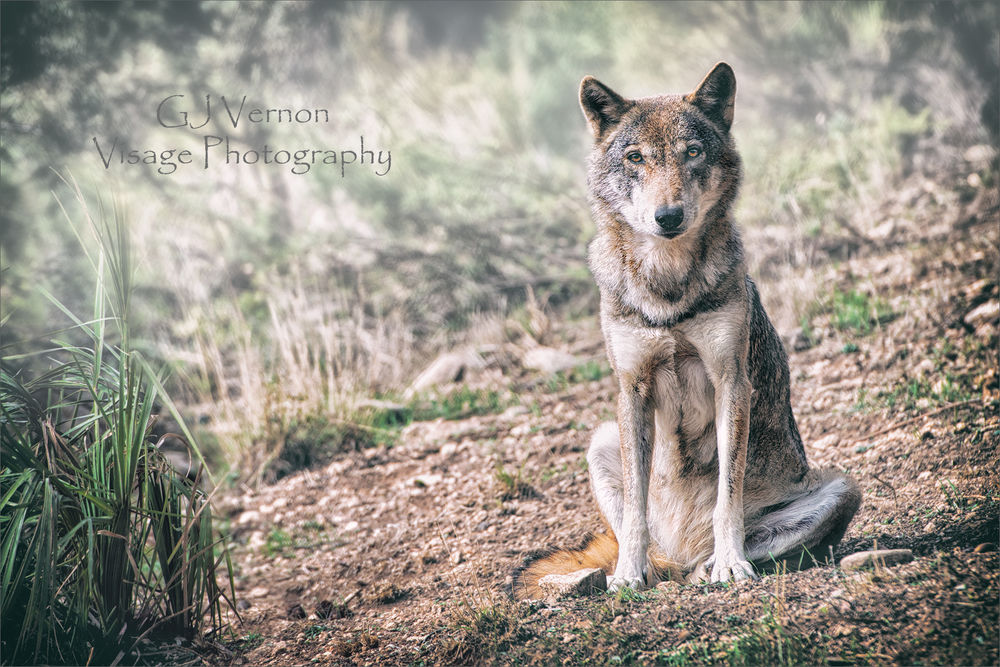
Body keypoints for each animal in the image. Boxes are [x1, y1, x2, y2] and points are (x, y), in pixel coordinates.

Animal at [515, 63, 861, 598]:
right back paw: (642, 570)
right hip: (601, 440)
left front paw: (731, 565)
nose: (668, 216)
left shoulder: (731, 382)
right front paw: (627, 576)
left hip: (844, 488)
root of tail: (682, 550)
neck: (667, 289)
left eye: (692, 153)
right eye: (636, 158)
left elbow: (727, 498)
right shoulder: (632, 389)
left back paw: (711, 565)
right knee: (649, 546)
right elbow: (635, 515)